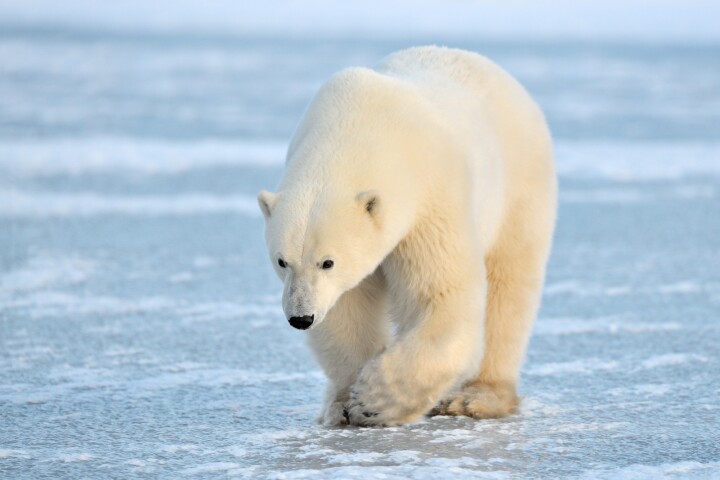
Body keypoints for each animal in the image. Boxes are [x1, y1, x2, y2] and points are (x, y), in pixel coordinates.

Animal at [258, 46, 557, 427]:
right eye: (282, 261)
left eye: (328, 262)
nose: (300, 318)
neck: (359, 126)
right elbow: (345, 310)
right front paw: (345, 402)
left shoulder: (430, 199)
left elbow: (441, 296)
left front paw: (374, 399)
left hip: (518, 187)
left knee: (509, 287)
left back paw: (475, 398)